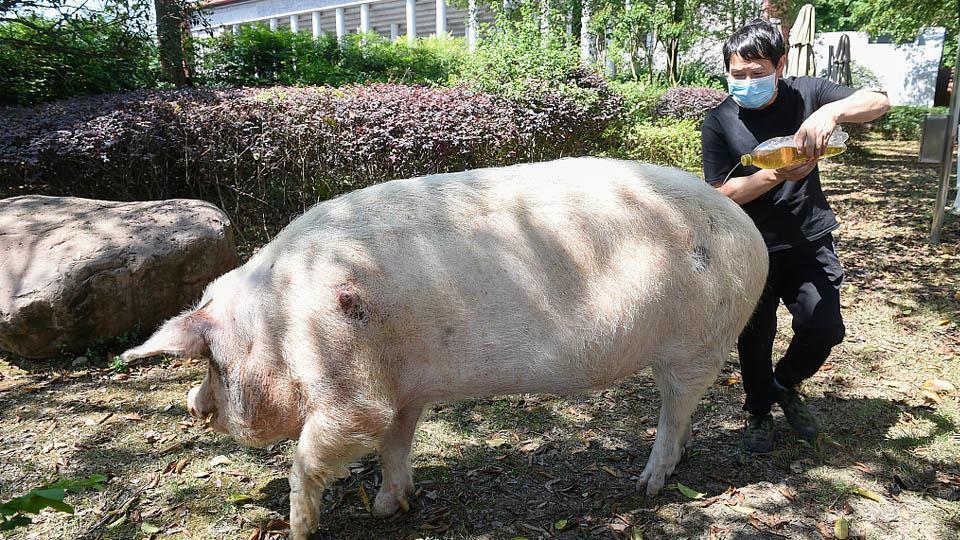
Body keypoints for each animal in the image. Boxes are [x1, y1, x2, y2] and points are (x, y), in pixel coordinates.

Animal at [122, 157, 764, 540]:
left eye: (213, 361)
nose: (192, 405)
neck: (279, 326)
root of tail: (745, 227)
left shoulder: (349, 390)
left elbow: (315, 452)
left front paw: (298, 529)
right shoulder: (402, 388)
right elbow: (394, 444)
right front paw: (388, 508)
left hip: (700, 340)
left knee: (674, 410)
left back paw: (645, 484)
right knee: (681, 410)